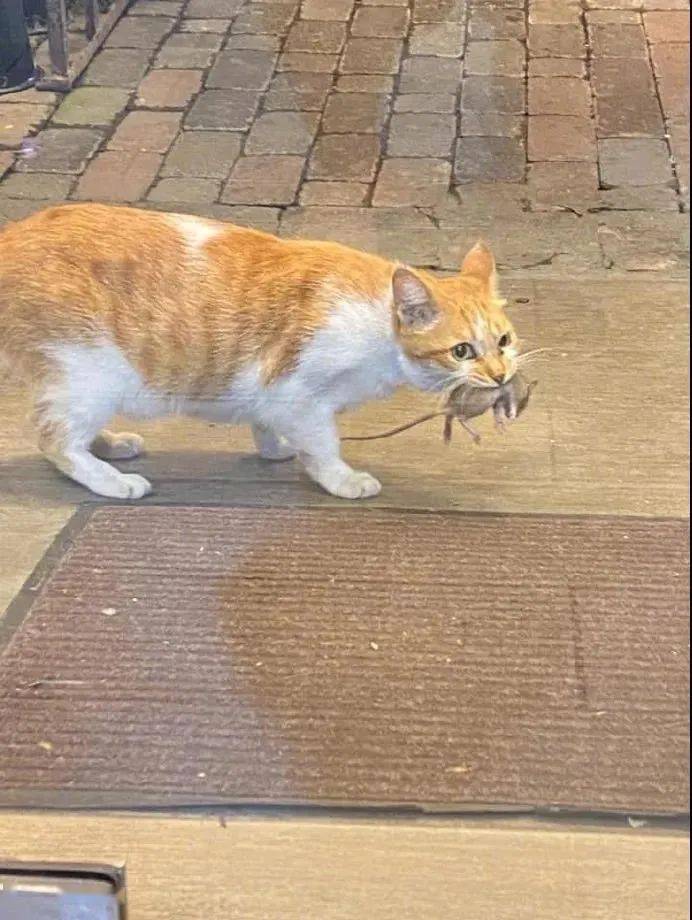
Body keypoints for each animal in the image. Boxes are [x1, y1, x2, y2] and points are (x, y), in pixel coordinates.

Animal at [0, 204, 520, 500]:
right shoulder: (300, 393)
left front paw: (275, 448)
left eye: (504, 342)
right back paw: (111, 480)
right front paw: (342, 479)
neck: (377, 324)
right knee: (54, 439)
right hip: (89, 374)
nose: (499, 376)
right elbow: (324, 445)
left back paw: (110, 444)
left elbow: (265, 423)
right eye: (461, 351)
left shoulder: (271, 392)